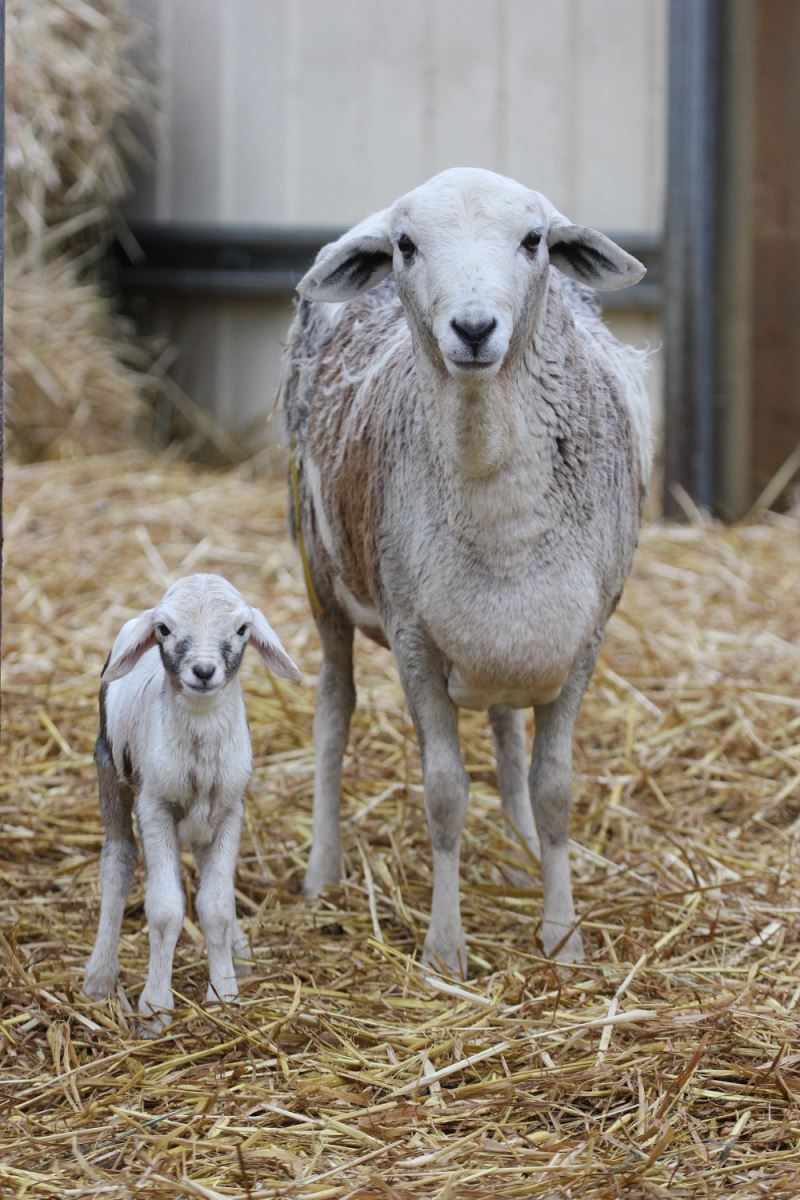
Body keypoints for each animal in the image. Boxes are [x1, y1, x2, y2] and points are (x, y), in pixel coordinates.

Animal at [82, 571, 299, 1022]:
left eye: (242, 629)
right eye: (164, 629)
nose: (203, 670)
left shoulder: (231, 809)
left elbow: (216, 906)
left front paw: (224, 994)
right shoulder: (154, 807)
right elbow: (166, 910)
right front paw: (155, 1008)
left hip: (207, 817)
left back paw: (239, 952)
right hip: (109, 768)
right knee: (118, 860)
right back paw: (99, 976)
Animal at [281, 166, 652, 974]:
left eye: (535, 239)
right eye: (406, 246)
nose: (475, 329)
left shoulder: (583, 637)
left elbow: (554, 789)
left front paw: (561, 934)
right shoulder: (414, 639)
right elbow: (445, 794)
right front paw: (445, 950)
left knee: (508, 736)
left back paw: (517, 849)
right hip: (321, 572)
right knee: (333, 714)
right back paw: (322, 869)